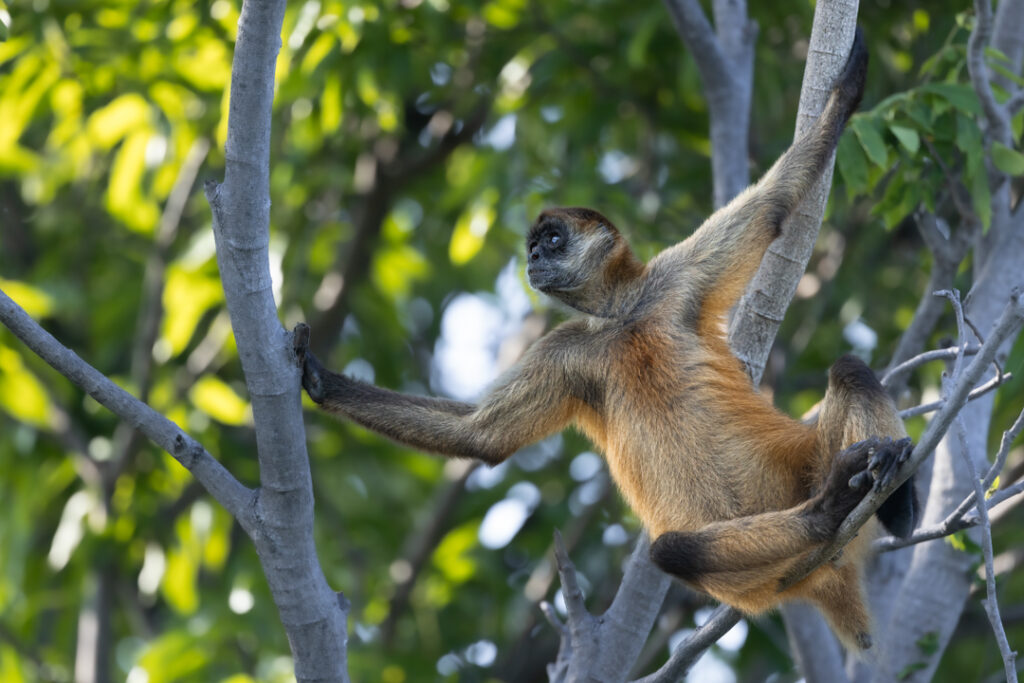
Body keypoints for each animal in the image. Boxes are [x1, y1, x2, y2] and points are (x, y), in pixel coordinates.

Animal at [294, 29, 917, 651]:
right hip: (761, 571)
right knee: (675, 550)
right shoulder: (566, 349)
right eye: (534, 246)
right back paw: (830, 510)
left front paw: (849, 88)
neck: (620, 317)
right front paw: (319, 380)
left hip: (797, 465)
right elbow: (481, 436)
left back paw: (893, 503)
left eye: (551, 240)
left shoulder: (676, 280)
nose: (532, 259)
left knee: (849, 370)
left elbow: (774, 203)